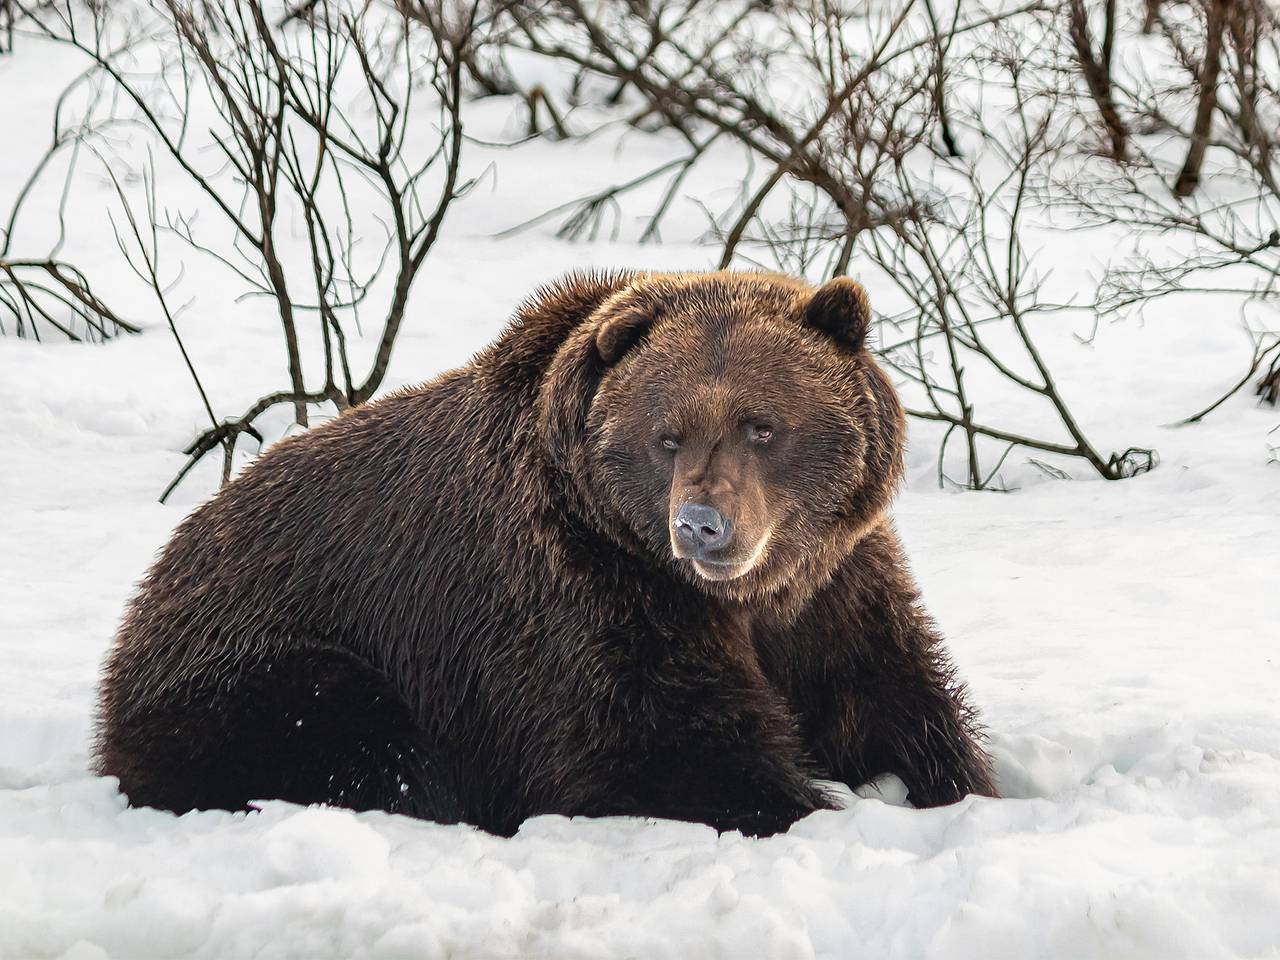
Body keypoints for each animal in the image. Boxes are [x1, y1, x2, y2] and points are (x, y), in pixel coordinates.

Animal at [97, 268, 998, 834]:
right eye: (666, 436)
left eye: (761, 425)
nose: (702, 525)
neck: (740, 597)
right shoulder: (579, 596)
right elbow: (656, 745)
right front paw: (805, 805)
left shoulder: (834, 585)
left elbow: (893, 696)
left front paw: (958, 788)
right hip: (265, 662)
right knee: (359, 738)